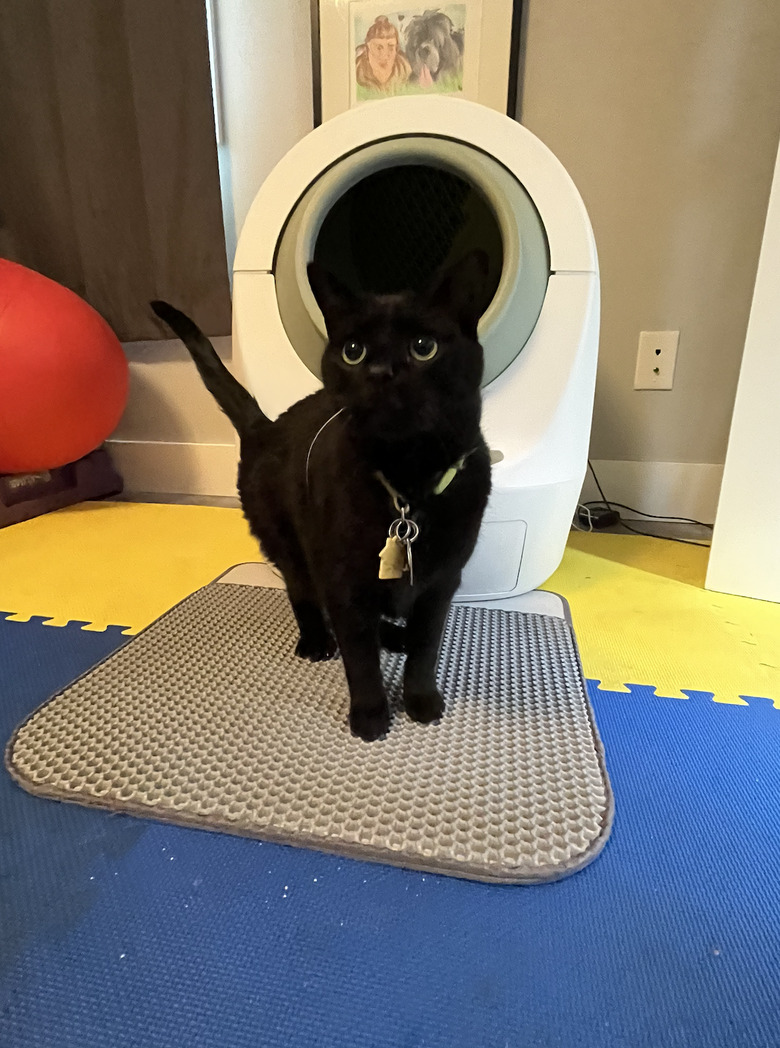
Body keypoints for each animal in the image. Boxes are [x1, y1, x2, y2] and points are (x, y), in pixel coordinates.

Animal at [152, 251, 490, 746]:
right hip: (291, 545)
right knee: (303, 594)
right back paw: (316, 641)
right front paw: (370, 715)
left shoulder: (441, 583)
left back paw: (394, 635)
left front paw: (421, 699)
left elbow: (426, 646)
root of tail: (266, 427)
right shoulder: (344, 579)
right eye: (354, 352)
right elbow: (360, 658)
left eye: (424, 347)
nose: (379, 373)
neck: (408, 486)